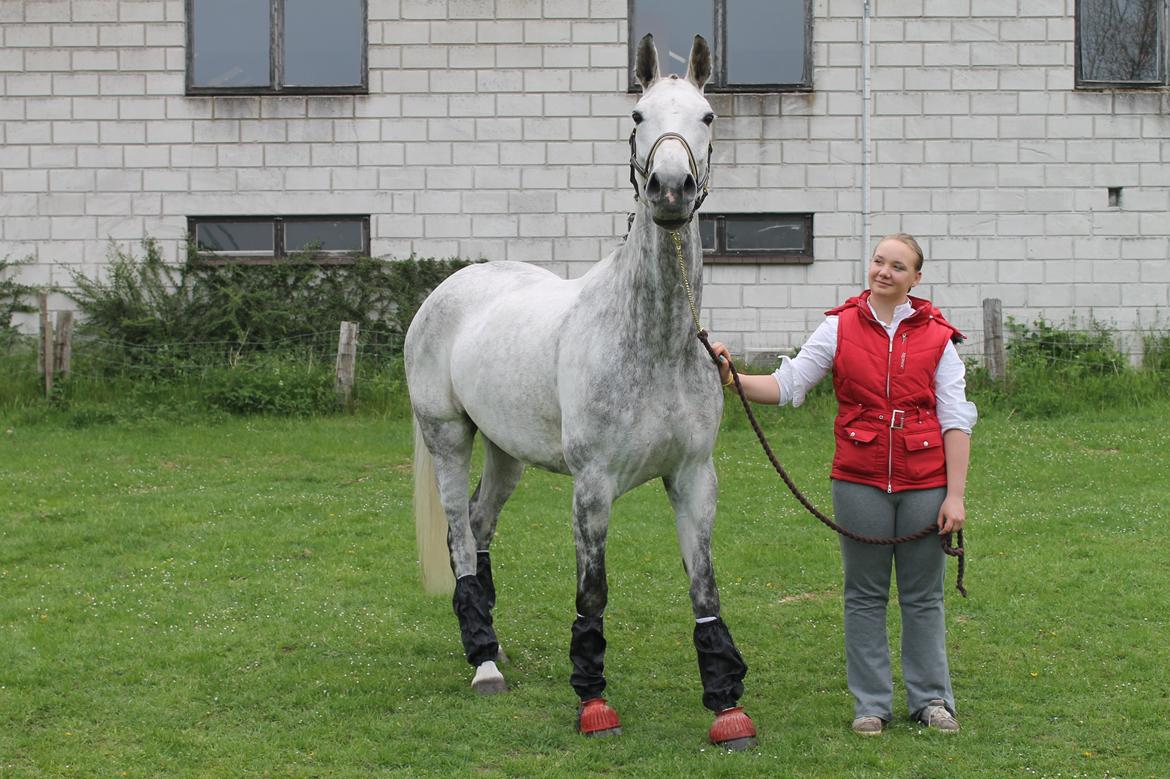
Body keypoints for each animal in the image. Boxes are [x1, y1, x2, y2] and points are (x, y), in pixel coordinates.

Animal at [407, 34, 758, 748]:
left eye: (708, 116)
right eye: (637, 116)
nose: (670, 187)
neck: (651, 341)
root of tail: (445, 291)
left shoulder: (693, 477)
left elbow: (704, 589)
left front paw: (725, 705)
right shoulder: (592, 487)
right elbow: (591, 592)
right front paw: (593, 701)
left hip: (505, 453)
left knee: (481, 525)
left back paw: (491, 642)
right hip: (449, 438)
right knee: (459, 535)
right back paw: (484, 664)